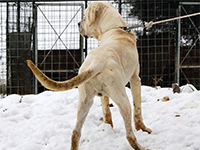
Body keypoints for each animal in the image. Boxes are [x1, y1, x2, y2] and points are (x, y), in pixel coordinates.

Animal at [27, 1, 152, 149]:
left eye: (85, 16)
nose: (78, 24)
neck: (114, 29)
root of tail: (97, 63)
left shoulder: (104, 95)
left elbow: (106, 110)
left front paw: (108, 126)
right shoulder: (135, 79)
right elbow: (138, 109)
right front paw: (143, 129)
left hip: (84, 101)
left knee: (75, 132)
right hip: (123, 100)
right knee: (129, 135)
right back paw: (142, 147)